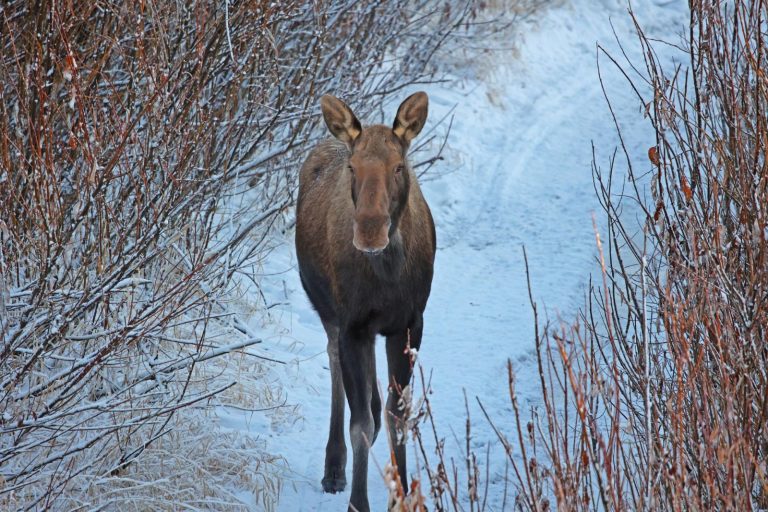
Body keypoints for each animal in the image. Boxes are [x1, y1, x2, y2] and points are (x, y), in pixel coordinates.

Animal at [295, 91, 435, 512]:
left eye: (399, 167)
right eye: (353, 167)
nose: (370, 230)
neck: (387, 276)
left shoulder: (409, 323)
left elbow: (397, 415)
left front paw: (402, 495)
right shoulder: (353, 324)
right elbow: (360, 424)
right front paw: (359, 500)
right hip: (329, 312)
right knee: (335, 363)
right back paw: (334, 467)